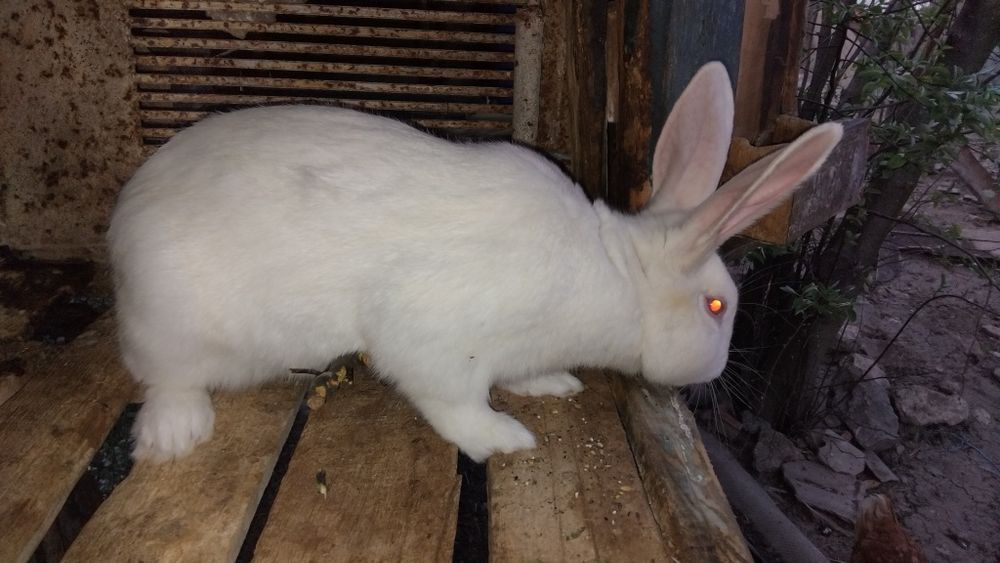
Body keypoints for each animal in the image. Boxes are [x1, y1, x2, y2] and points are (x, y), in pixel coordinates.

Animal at [109, 62, 842, 463]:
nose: (716, 372)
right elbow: (452, 402)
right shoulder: (433, 342)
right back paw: (175, 435)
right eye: (716, 307)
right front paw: (504, 438)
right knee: (164, 378)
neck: (615, 275)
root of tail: (122, 223)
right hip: (173, 327)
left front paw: (552, 384)